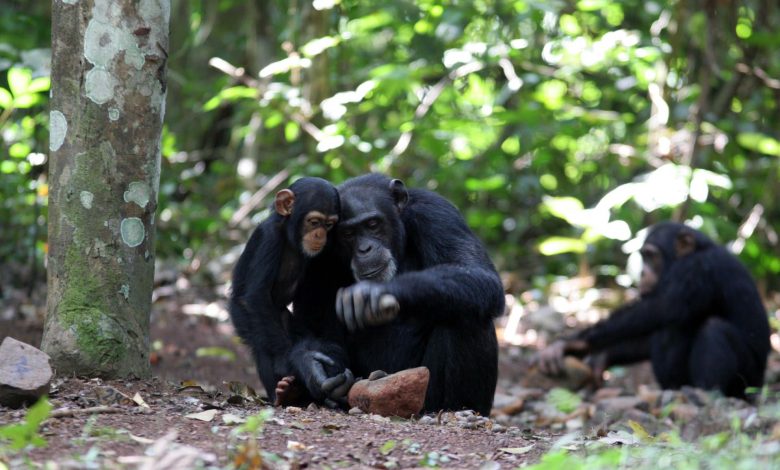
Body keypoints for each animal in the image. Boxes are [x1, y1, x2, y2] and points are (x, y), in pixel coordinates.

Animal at [227, 176, 352, 404]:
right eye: (314, 222)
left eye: (329, 225)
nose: (320, 234)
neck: (289, 236)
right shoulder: (268, 238)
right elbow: (258, 295)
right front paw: (299, 361)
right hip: (241, 315)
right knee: (261, 341)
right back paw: (284, 393)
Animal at [288, 173, 506, 414]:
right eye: (348, 233)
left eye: (373, 224)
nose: (365, 249)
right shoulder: (315, 248)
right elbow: (310, 326)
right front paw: (313, 365)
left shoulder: (437, 214)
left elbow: (477, 271)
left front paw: (372, 294)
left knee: (467, 314)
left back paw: (460, 408)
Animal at [540, 222, 772, 398]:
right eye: (643, 256)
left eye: (651, 255)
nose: (642, 272)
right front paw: (600, 357)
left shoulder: (698, 269)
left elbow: (664, 308)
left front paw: (573, 341)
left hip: (747, 383)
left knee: (712, 327)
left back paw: (703, 394)